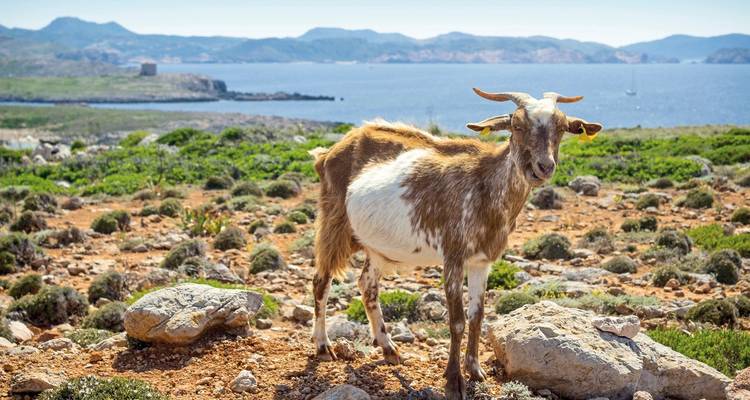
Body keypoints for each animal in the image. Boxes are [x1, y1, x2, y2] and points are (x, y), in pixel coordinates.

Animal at [311, 89, 602, 399]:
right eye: (517, 125)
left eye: (561, 127)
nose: (543, 167)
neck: (486, 187)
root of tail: (328, 153)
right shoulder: (453, 256)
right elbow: (457, 320)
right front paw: (454, 381)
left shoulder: (481, 261)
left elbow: (477, 316)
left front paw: (475, 370)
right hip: (334, 223)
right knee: (321, 281)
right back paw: (323, 346)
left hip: (377, 248)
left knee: (367, 286)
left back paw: (389, 348)